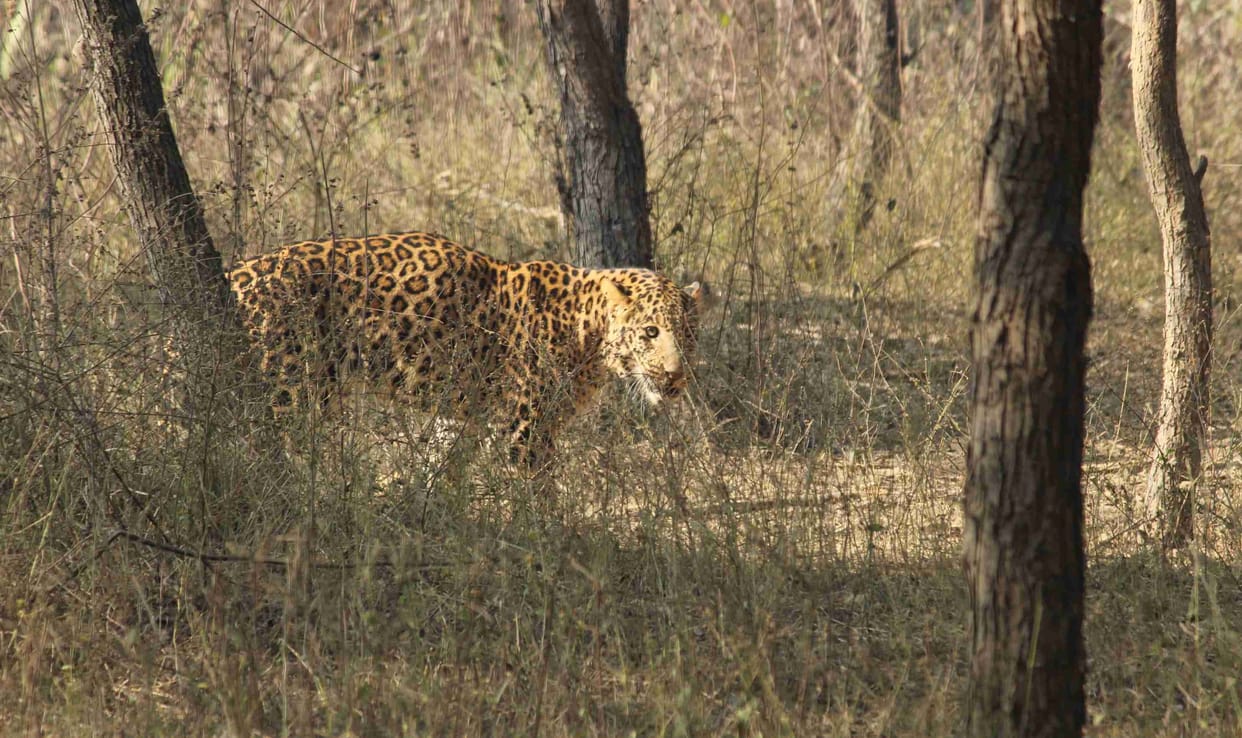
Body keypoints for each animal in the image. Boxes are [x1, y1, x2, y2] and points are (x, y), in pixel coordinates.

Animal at [227, 231, 706, 468]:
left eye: (687, 334)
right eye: (650, 332)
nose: (676, 377)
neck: (587, 332)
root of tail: (237, 273)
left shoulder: (463, 418)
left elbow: (440, 468)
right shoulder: (524, 429)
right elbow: (536, 496)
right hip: (291, 387)